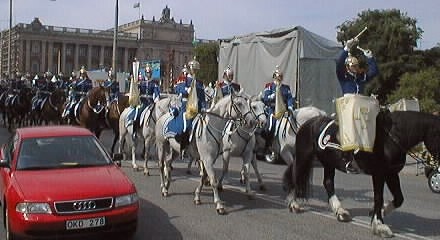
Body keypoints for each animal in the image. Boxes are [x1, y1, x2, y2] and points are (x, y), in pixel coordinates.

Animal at [284, 110, 438, 238]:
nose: (437, 168)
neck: (389, 138)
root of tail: (308, 124)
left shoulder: (391, 174)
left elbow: (399, 199)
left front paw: (378, 213)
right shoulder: (379, 174)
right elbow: (378, 198)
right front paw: (379, 226)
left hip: (328, 162)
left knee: (328, 183)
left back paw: (340, 212)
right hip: (304, 157)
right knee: (296, 176)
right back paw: (293, 205)